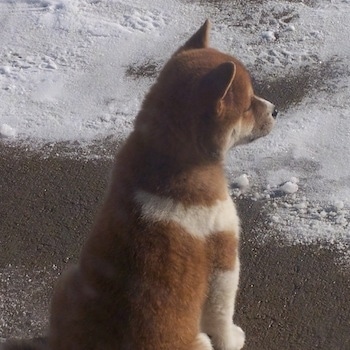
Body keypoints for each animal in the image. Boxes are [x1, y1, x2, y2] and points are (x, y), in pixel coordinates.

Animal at [1, 19, 278, 350]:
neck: (165, 156)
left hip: (67, 281)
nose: (275, 110)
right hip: (196, 340)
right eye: (248, 105)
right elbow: (222, 315)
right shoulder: (224, 258)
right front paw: (233, 338)